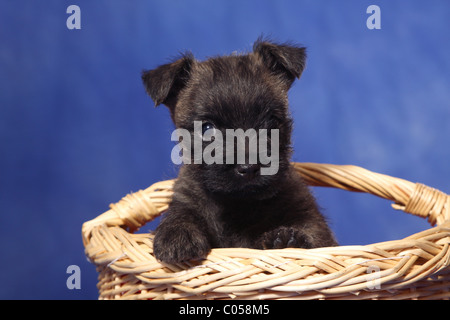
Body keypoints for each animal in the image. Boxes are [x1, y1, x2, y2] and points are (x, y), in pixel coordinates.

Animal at [142, 38, 336, 262]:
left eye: (272, 121)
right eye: (207, 128)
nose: (249, 167)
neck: (238, 204)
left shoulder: (308, 213)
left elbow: (314, 232)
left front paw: (289, 239)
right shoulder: (186, 197)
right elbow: (181, 212)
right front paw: (177, 234)